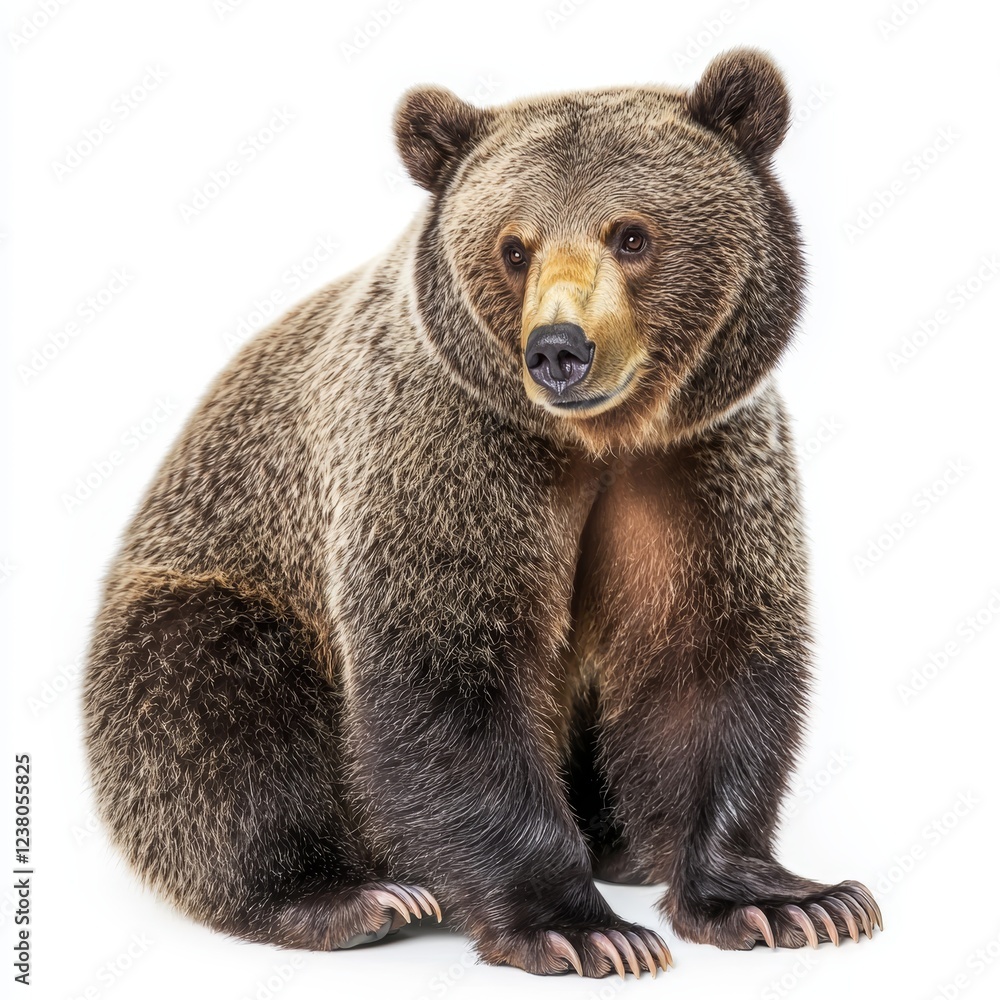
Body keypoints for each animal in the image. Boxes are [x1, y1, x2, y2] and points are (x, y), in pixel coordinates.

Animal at [82, 48, 881, 978]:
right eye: (514, 247)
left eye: (631, 234)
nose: (560, 351)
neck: (596, 442)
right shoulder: (447, 449)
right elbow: (449, 677)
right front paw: (579, 925)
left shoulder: (698, 464)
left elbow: (703, 661)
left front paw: (788, 901)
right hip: (212, 583)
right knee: (212, 700)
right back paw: (346, 897)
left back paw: (620, 844)